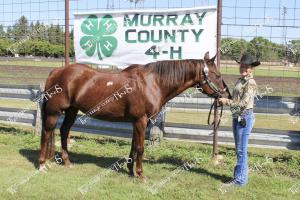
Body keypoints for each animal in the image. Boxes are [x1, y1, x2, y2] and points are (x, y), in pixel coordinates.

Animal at [37, 51, 230, 181]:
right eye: (217, 75)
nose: (226, 96)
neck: (153, 83)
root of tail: (56, 72)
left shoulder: (138, 122)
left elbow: (133, 146)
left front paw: (130, 170)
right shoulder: (140, 121)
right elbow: (140, 148)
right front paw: (141, 175)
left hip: (72, 110)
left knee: (63, 131)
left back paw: (67, 162)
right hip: (54, 112)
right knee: (47, 132)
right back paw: (42, 164)